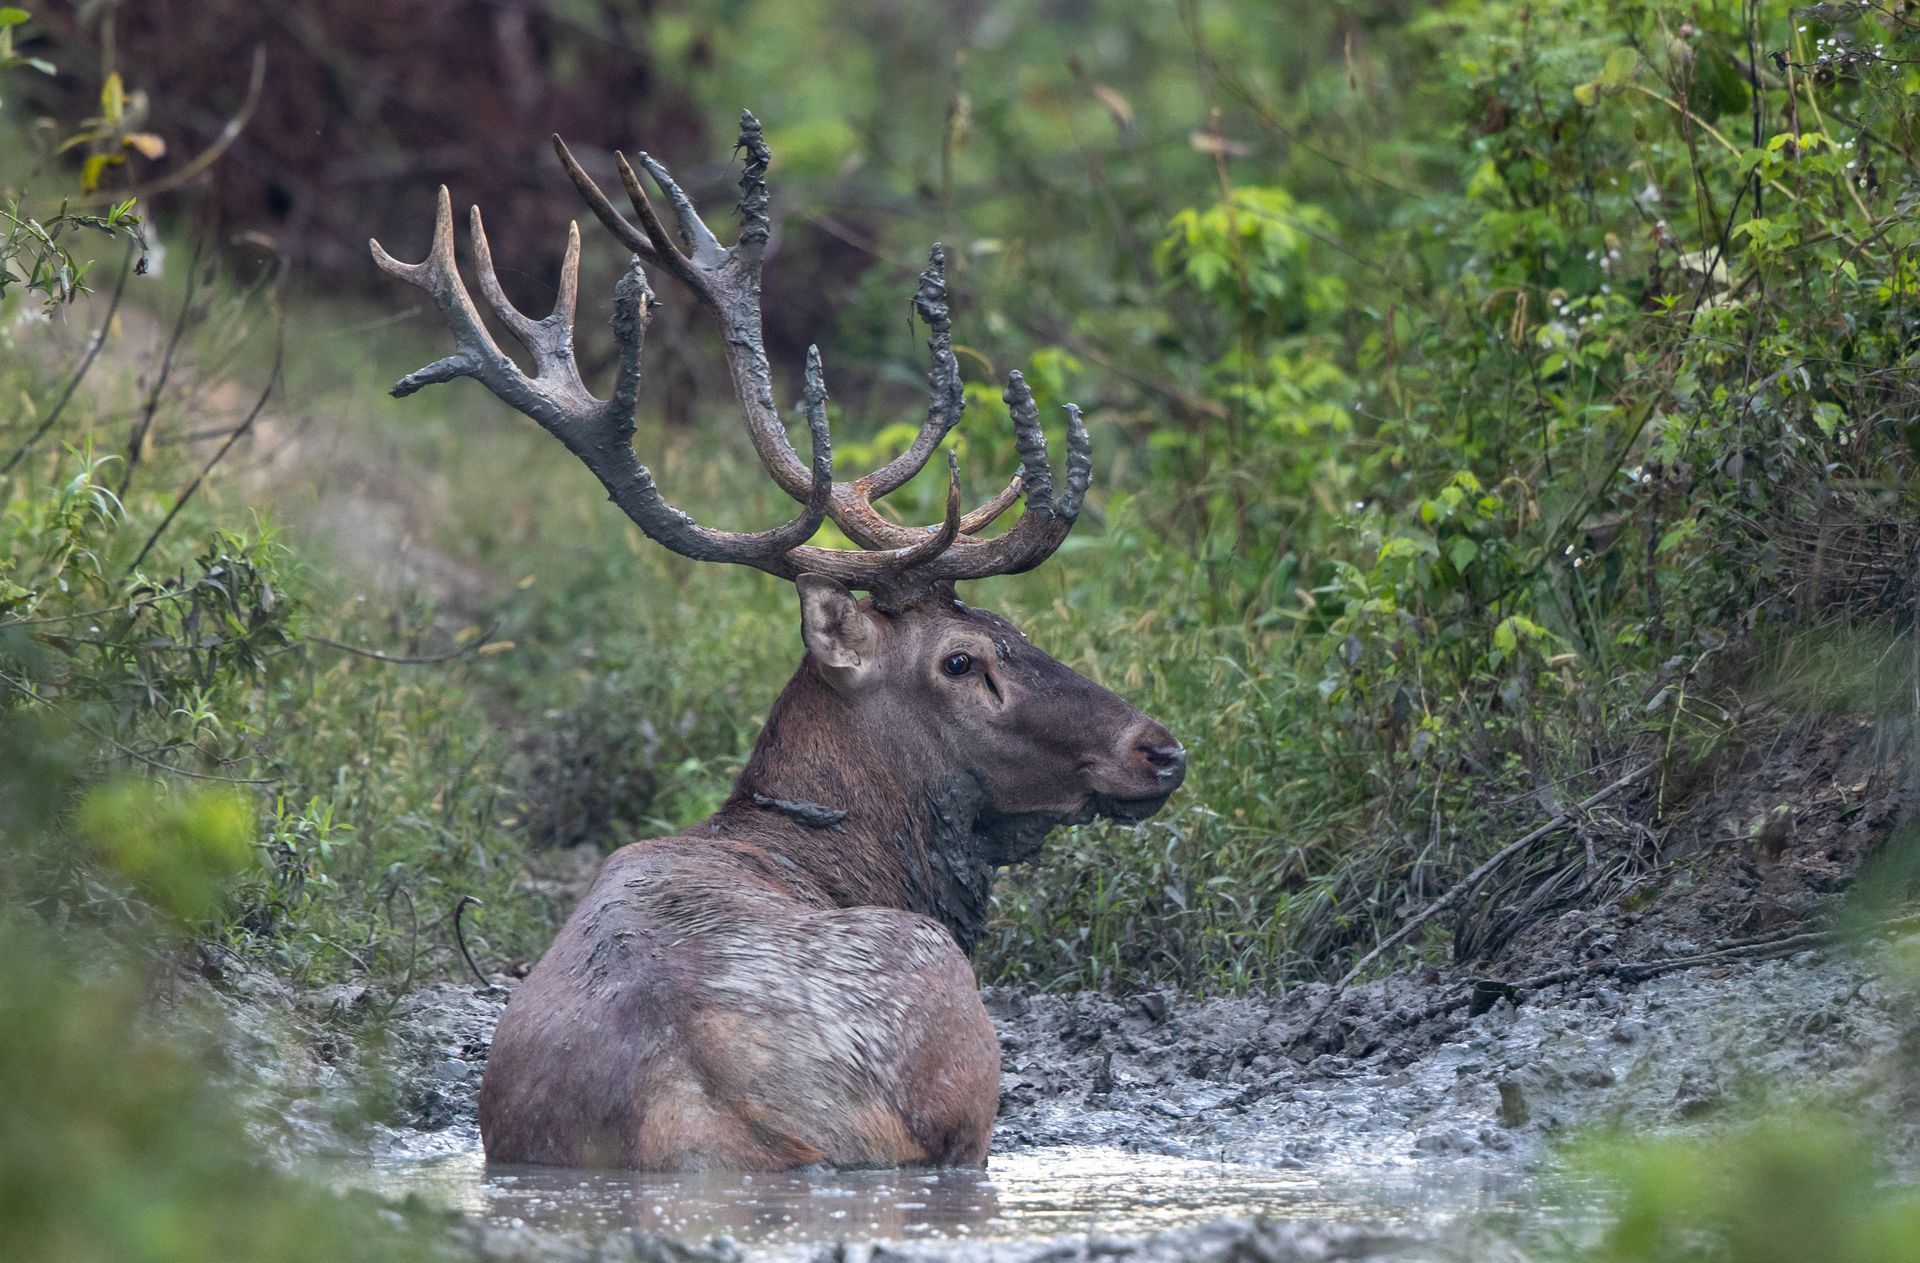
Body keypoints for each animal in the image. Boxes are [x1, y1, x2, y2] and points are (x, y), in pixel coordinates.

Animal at [372, 113, 1182, 1167]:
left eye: (1013, 626)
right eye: (962, 661)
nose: (1159, 748)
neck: (850, 859)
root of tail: (703, 1113)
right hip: (948, 1055)